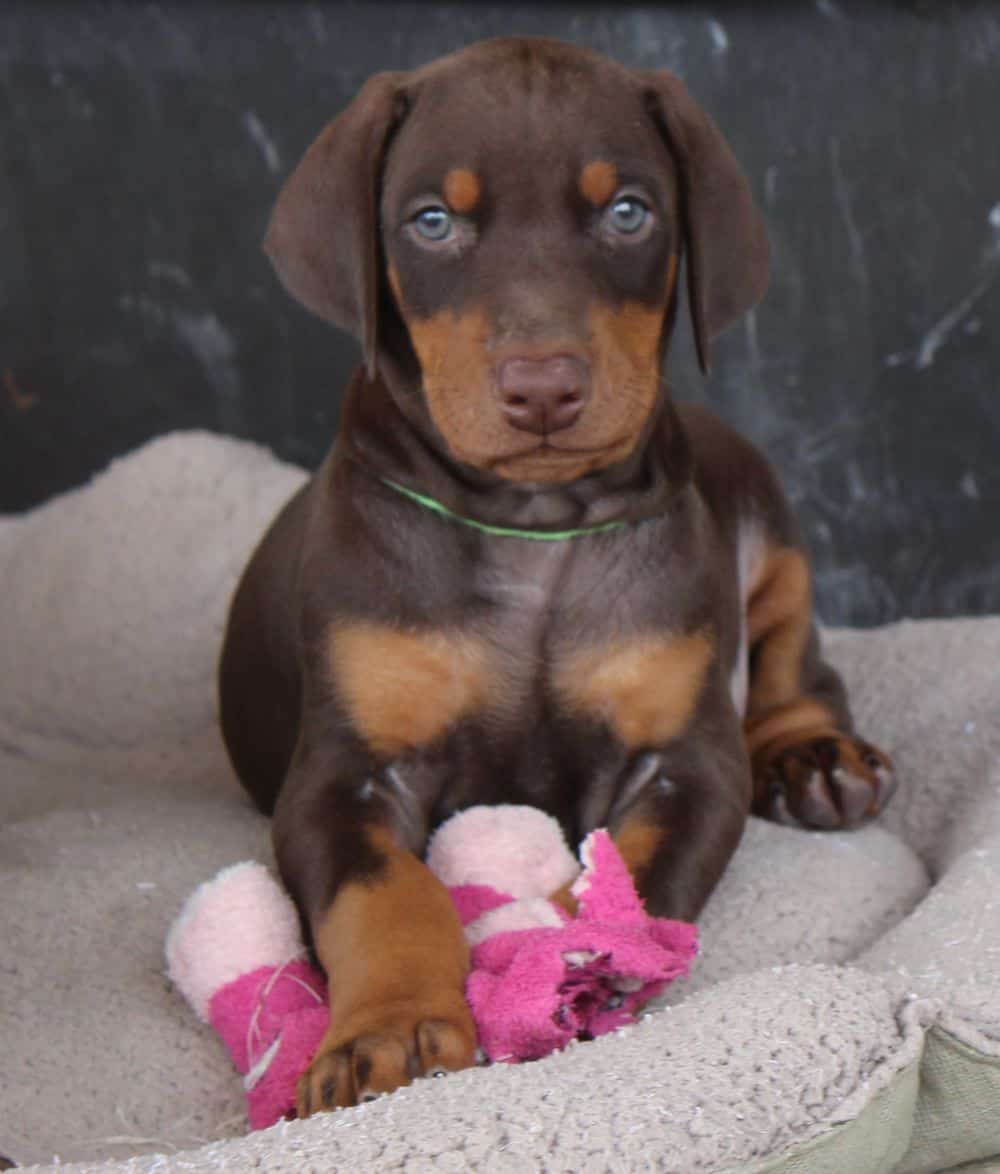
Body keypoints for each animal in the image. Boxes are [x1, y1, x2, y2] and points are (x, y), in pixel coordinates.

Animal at [218, 36, 896, 1112]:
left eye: (628, 212)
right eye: (432, 221)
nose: (543, 387)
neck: (528, 523)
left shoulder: (685, 762)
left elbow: (630, 882)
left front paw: (558, 959)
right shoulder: (343, 773)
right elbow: (387, 893)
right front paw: (391, 1028)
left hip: (764, 513)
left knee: (797, 661)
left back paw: (816, 758)